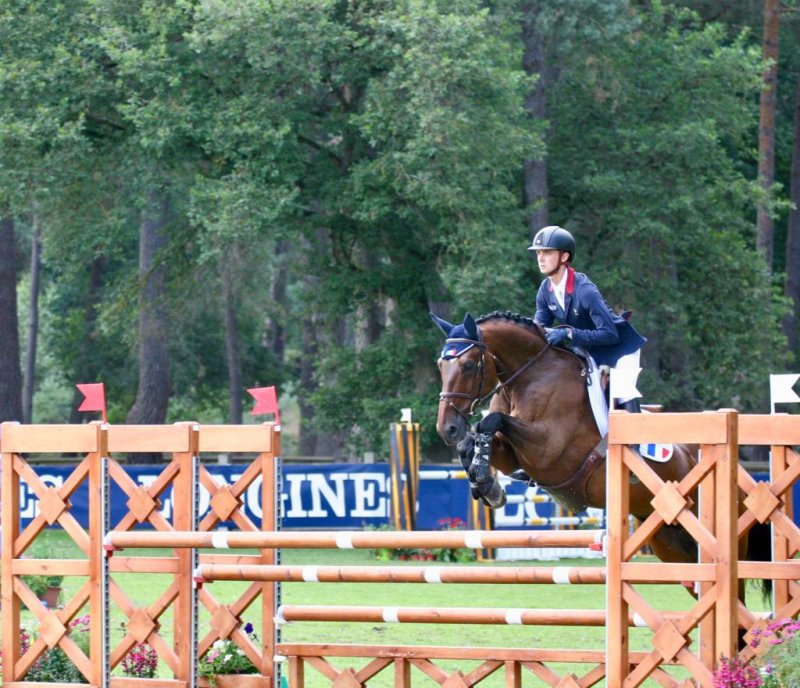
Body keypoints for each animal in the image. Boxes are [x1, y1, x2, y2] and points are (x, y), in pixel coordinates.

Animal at [434, 310, 760, 568]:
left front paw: (485, 481)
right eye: (441, 365)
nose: (446, 428)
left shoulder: (549, 452)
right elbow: (475, 440)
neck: (531, 375)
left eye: (467, 366)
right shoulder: (515, 453)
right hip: (671, 541)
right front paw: (487, 485)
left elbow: (490, 421)